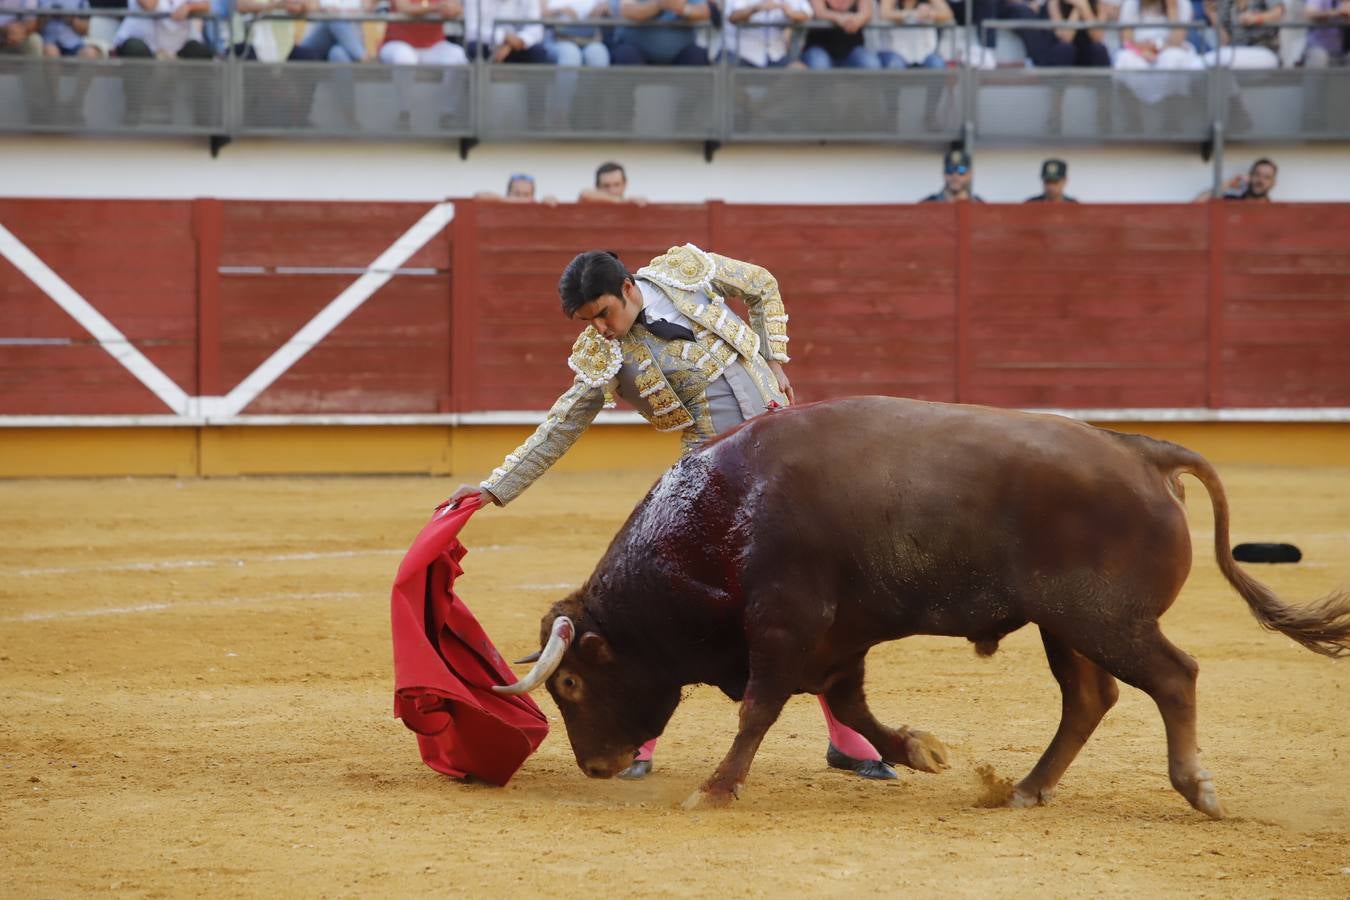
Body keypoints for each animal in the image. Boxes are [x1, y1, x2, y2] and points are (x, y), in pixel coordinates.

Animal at [494, 396, 1350, 820]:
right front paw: (921, 750)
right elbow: (850, 705)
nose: (597, 766)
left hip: (1106, 620)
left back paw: (1196, 789)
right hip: (1067, 626)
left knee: (1173, 677)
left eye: (569, 684)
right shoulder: (834, 640)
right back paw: (1027, 789)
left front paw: (714, 789)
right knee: (1089, 698)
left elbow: (760, 708)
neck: (721, 514)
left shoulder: (784, 626)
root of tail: (1142, 450)